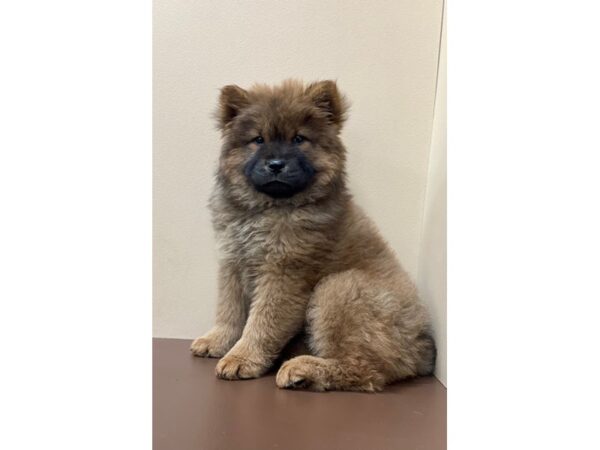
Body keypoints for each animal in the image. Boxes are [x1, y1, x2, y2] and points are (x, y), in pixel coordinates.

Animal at [192, 80, 436, 390]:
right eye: (258, 140)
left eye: (299, 139)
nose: (276, 164)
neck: (269, 208)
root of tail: (422, 349)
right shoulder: (232, 263)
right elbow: (229, 311)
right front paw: (217, 341)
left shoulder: (283, 275)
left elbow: (261, 323)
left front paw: (241, 358)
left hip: (338, 288)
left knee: (365, 369)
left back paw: (303, 369)